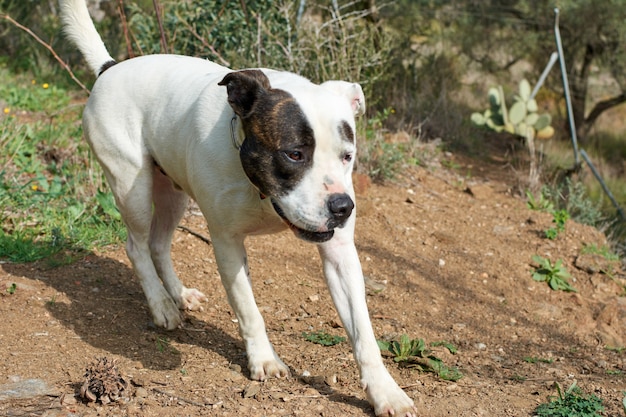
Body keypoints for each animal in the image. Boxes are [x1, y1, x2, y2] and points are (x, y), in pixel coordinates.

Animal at [61, 1, 416, 414]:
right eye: (294, 154)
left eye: (348, 155)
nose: (342, 206)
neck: (260, 190)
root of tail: (111, 67)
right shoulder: (227, 243)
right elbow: (248, 309)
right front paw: (264, 359)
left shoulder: (340, 253)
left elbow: (364, 332)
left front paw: (385, 390)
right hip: (131, 186)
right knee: (136, 245)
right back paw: (161, 305)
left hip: (173, 192)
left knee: (159, 243)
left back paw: (178, 295)